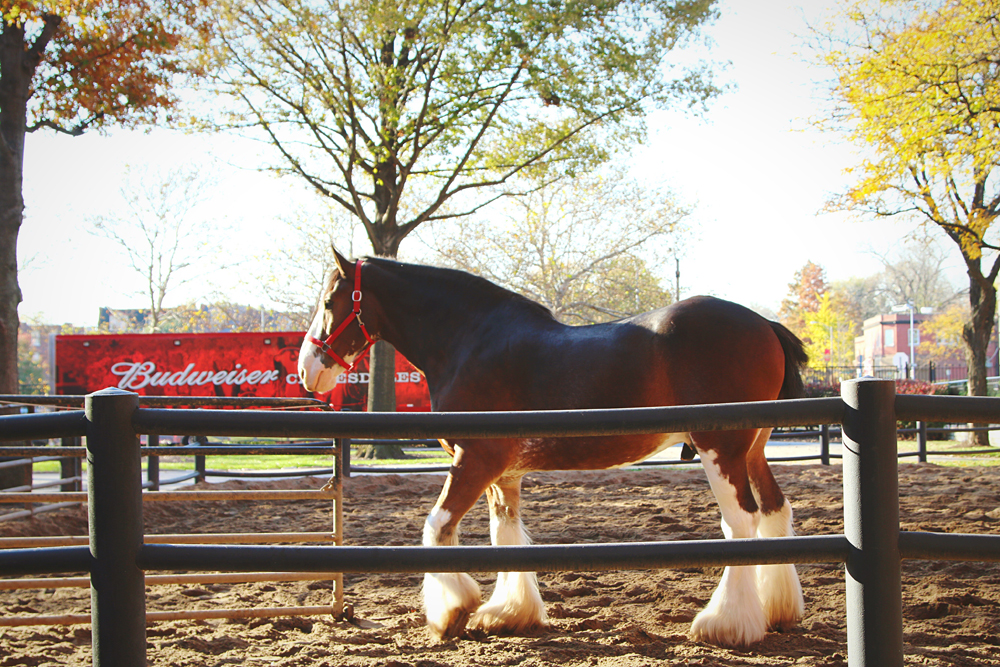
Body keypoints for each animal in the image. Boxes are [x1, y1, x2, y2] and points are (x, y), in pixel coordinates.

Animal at [294, 250, 804, 648]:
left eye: (329, 301)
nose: (307, 371)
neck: (469, 342)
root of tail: (764, 324)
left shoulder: (474, 460)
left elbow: (436, 528)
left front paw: (451, 613)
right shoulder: (503, 473)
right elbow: (504, 537)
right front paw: (508, 614)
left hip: (721, 449)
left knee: (741, 522)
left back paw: (726, 624)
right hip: (752, 450)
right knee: (775, 511)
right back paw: (777, 611)